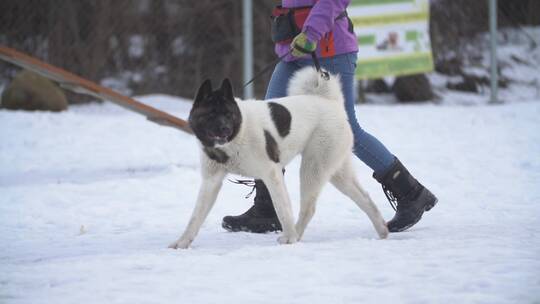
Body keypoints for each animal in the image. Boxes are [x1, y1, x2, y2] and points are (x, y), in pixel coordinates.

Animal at [170, 67, 388, 249]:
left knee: (309, 207)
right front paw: (182, 242)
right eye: (211, 114)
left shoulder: (271, 173)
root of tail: (331, 103)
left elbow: (282, 208)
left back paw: (296, 234)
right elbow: (196, 216)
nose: (225, 129)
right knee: (364, 198)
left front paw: (289, 238)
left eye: (229, 114)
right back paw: (383, 230)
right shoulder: (211, 181)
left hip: (313, 168)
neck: (238, 135)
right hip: (336, 172)